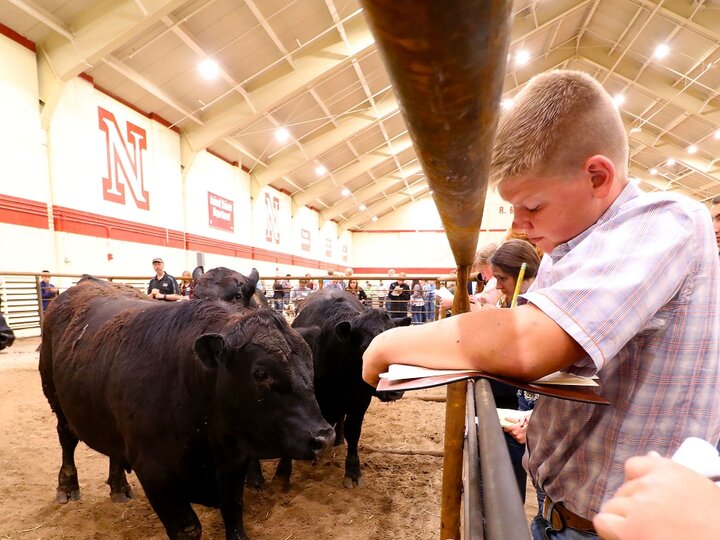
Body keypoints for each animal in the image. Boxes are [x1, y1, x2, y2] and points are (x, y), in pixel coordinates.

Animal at [38, 276, 334, 536]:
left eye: (310, 363)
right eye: (260, 373)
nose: (323, 437)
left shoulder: (233, 464)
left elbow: (234, 516)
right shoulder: (156, 474)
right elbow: (188, 528)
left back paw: (119, 487)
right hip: (56, 400)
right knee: (67, 439)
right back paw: (67, 486)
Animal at [253, 288, 410, 492]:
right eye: (365, 348)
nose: (396, 388)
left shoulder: (360, 400)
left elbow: (353, 431)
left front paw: (353, 472)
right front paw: (282, 475)